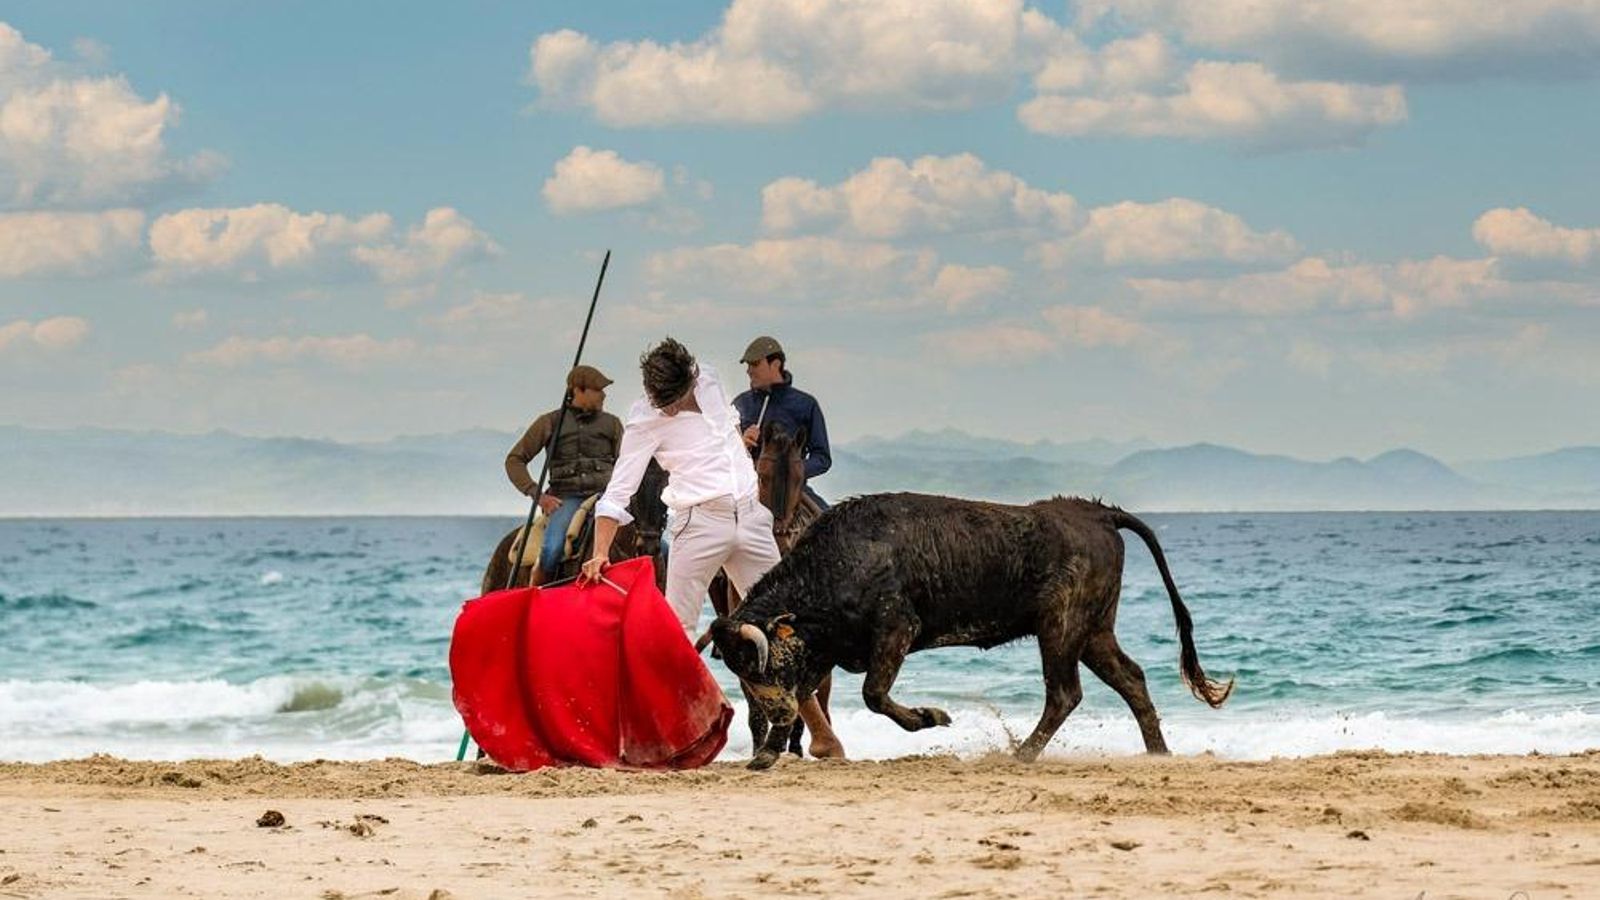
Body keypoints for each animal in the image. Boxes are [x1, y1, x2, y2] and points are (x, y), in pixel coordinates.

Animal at [708, 493, 1233, 770]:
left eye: (759, 662)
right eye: (739, 670)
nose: (772, 711)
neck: (835, 561)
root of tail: (1095, 512)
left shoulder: (896, 628)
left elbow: (874, 694)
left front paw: (931, 717)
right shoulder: (826, 650)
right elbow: (807, 693)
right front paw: (766, 755)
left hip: (1061, 628)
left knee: (1065, 693)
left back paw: (1020, 755)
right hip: (1093, 631)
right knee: (1131, 679)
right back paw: (1159, 754)